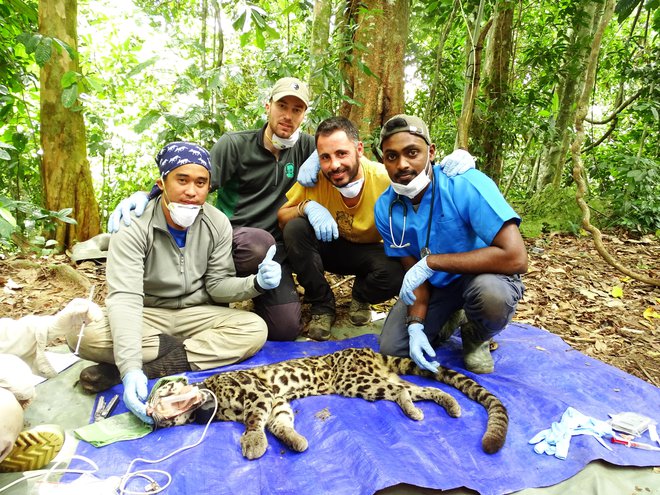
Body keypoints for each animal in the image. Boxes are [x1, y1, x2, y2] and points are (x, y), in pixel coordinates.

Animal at [157, 348, 508, 462]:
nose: (151, 413)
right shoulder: (277, 402)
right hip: (374, 380)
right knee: (419, 388)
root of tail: (367, 349)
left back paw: (421, 407)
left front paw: (254, 442)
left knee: (401, 391)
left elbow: (255, 421)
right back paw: (444, 405)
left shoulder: (261, 395)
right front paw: (294, 440)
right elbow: (279, 424)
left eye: (160, 394)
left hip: (359, 381)